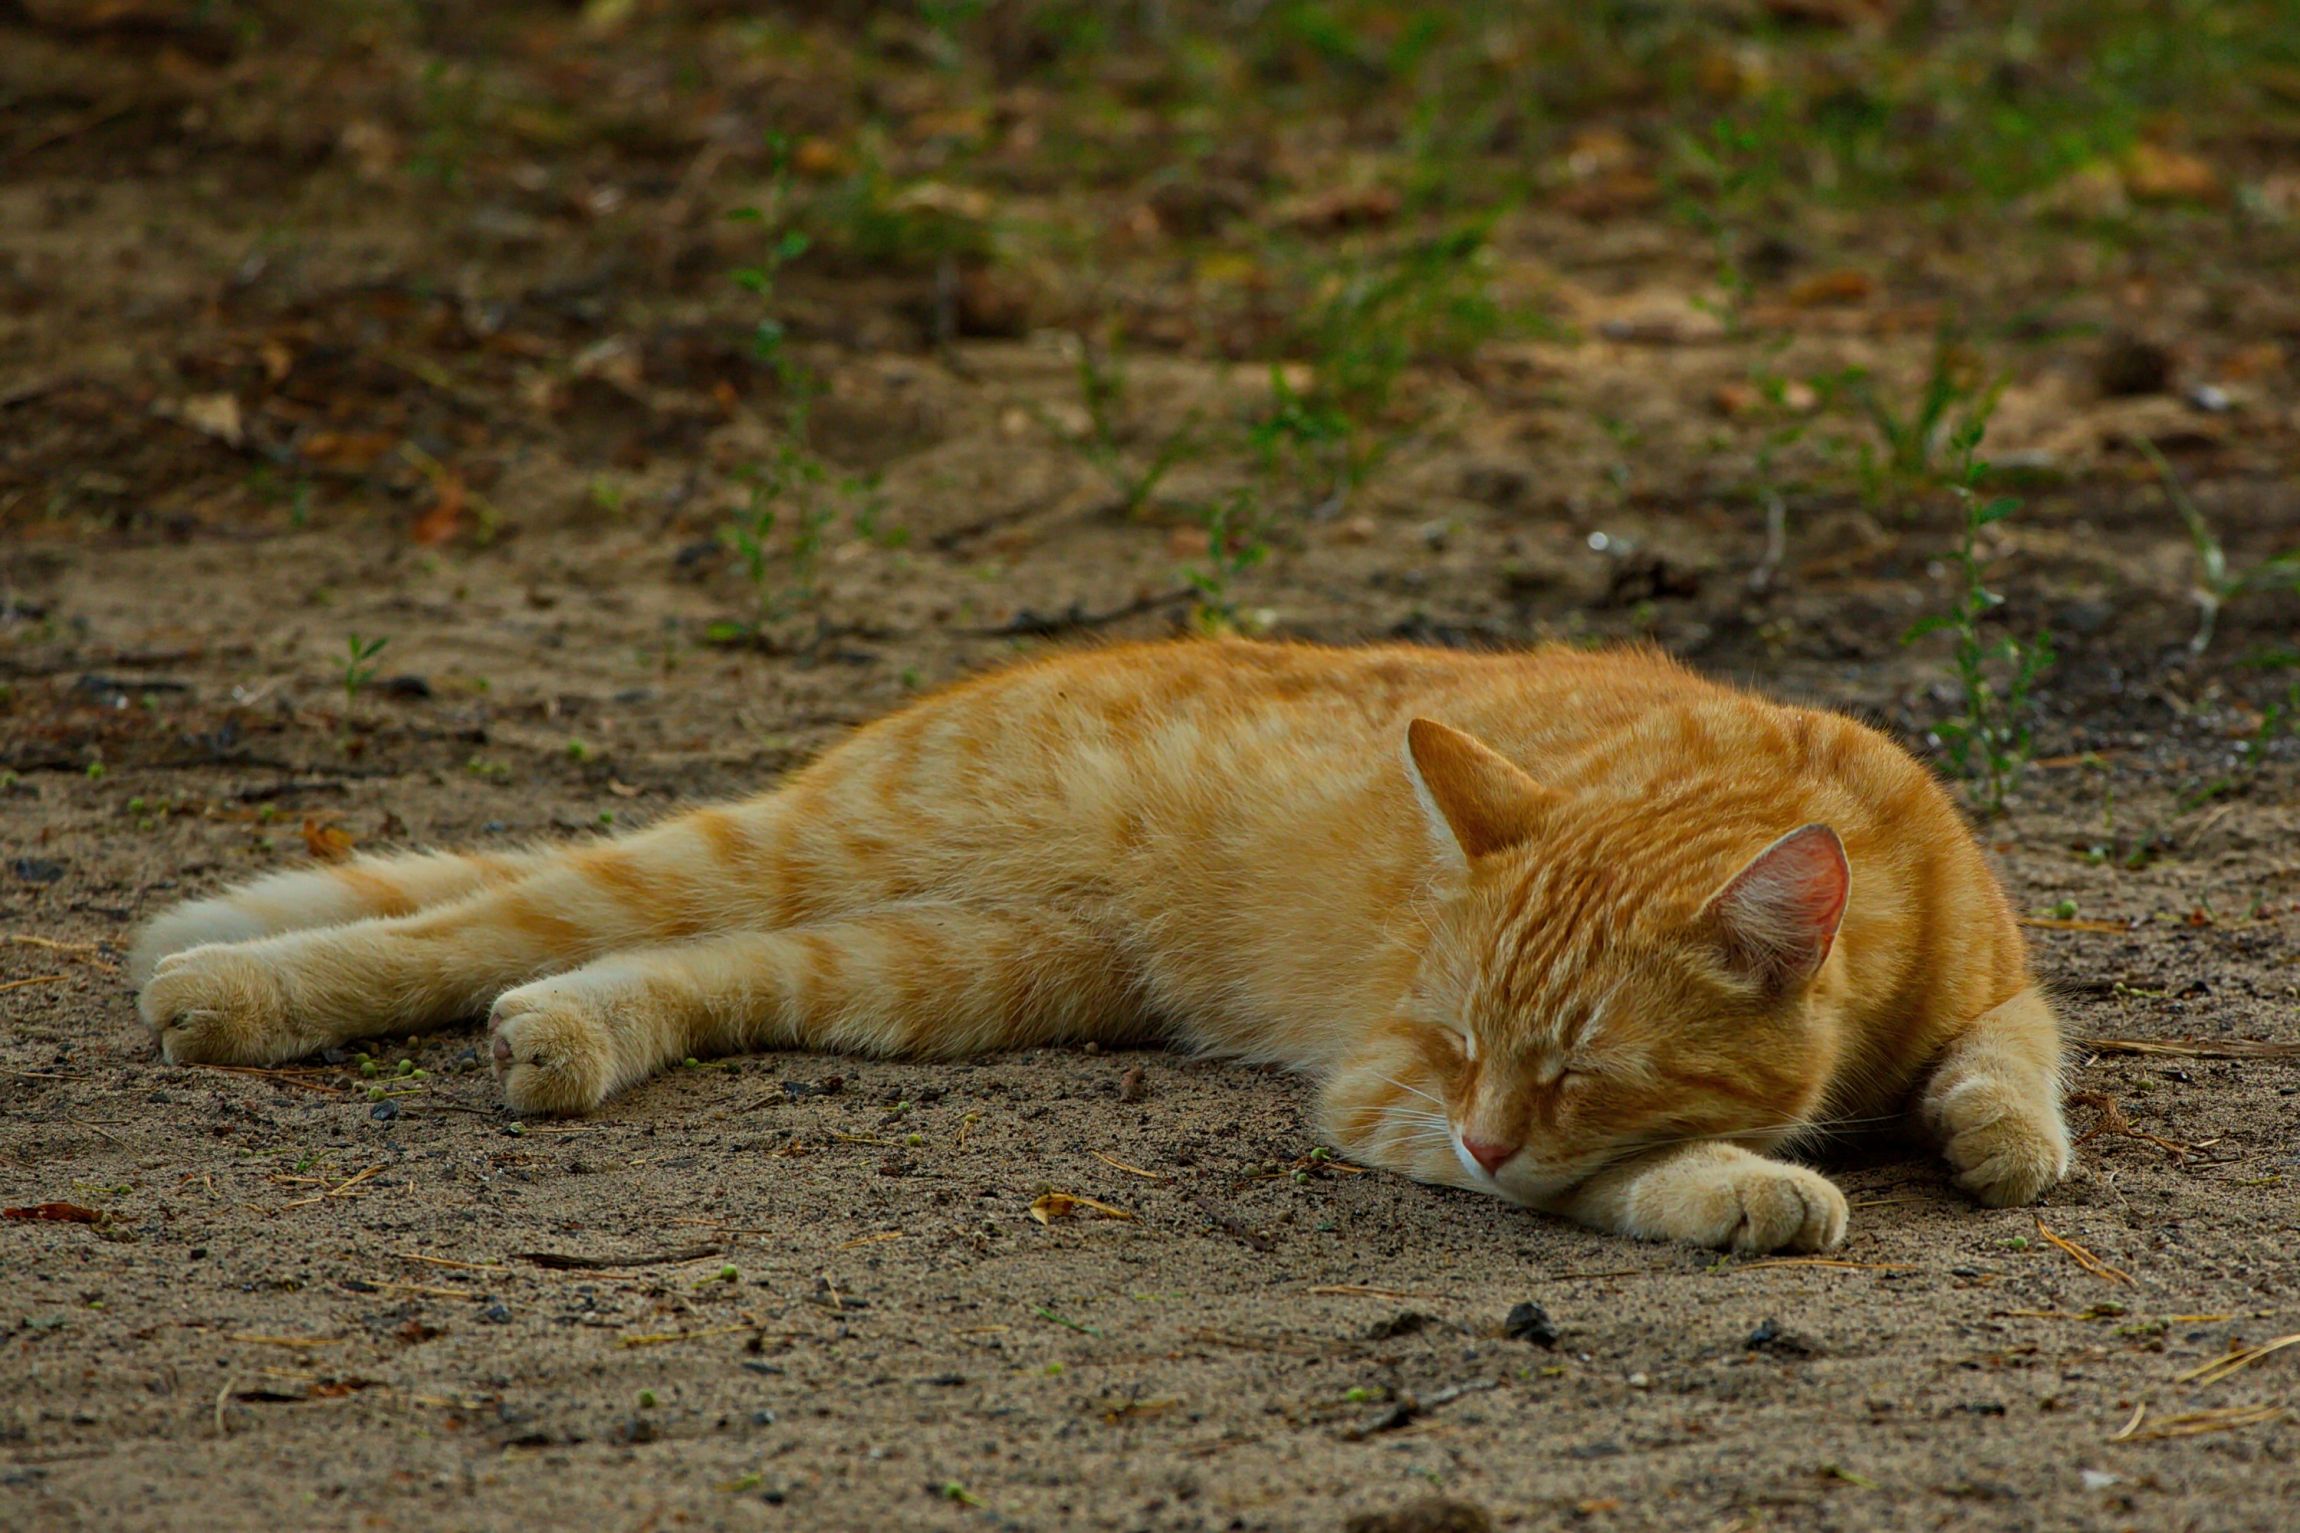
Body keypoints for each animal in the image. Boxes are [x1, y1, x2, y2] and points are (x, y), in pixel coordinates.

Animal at [130, 634, 2070, 1250]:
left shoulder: (1997, 971)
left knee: (658, 966)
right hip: (812, 858)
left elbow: (2018, 1052)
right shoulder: (1383, 1090)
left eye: (1581, 1061)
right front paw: (1740, 1181)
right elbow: (1610, 1185)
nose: (1482, 1133)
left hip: (938, 971)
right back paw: (235, 987)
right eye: (1467, 1045)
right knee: (500, 908)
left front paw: (1994, 1133)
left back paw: (570, 1038)